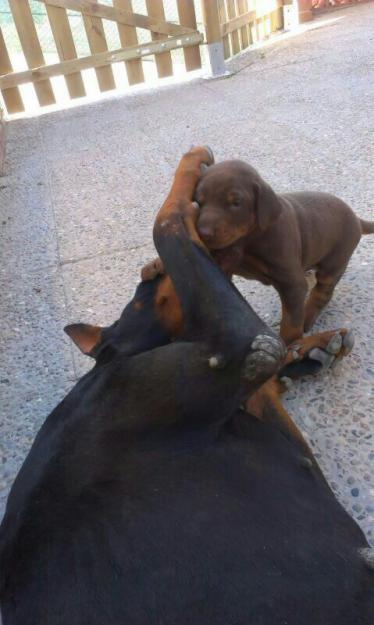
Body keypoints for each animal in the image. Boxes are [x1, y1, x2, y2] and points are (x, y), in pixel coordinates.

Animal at [0, 147, 374, 624]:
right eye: (142, 281)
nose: (148, 268)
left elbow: (271, 379)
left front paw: (311, 350)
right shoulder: (233, 349)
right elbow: (168, 219)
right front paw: (192, 161)